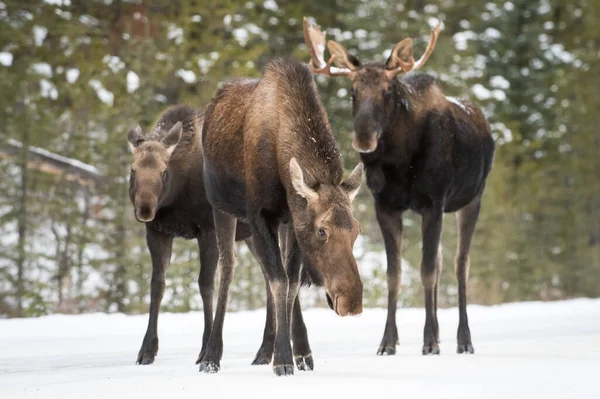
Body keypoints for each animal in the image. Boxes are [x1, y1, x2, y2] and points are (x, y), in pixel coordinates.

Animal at [200, 57, 366, 376]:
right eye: (322, 230)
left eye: (356, 230)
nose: (351, 301)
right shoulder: (259, 215)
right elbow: (279, 280)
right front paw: (283, 359)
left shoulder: (293, 219)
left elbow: (289, 282)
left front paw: (291, 353)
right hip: (221, 208)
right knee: (228, 269)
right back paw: (210, 355)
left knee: (275, 275)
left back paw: (277, 351)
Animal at [302, 18, 494, 356]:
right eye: (353, 90)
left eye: (387, 90)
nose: (364, 137)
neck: (400, 162)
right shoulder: (386, 205)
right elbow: (395, 274)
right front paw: (388, 342)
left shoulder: (434, 202)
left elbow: (427, 271)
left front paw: (429, 341)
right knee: (442, 262)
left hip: (472, 199)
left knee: (460, 264)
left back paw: (463, 339)